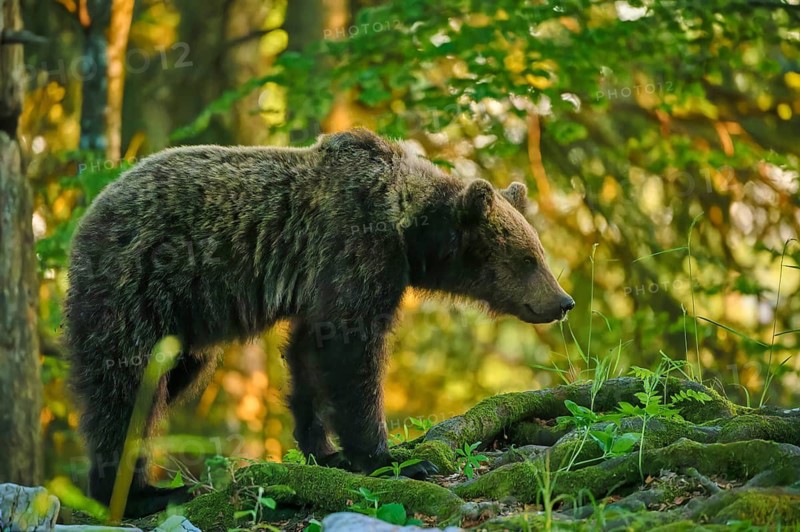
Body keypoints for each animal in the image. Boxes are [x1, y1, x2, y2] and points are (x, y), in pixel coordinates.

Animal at [65, 128, 575, 517]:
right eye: (528, 259)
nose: (564, 300)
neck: (408, 229)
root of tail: (90, 213)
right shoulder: (355, 247)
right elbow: (352, 352)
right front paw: (394, 458)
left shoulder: (320, 286)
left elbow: (310, 355)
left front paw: (325, 451)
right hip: (138, 287)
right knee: (127, 386)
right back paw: (139, 494)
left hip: (183, 329)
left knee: (171, 380)